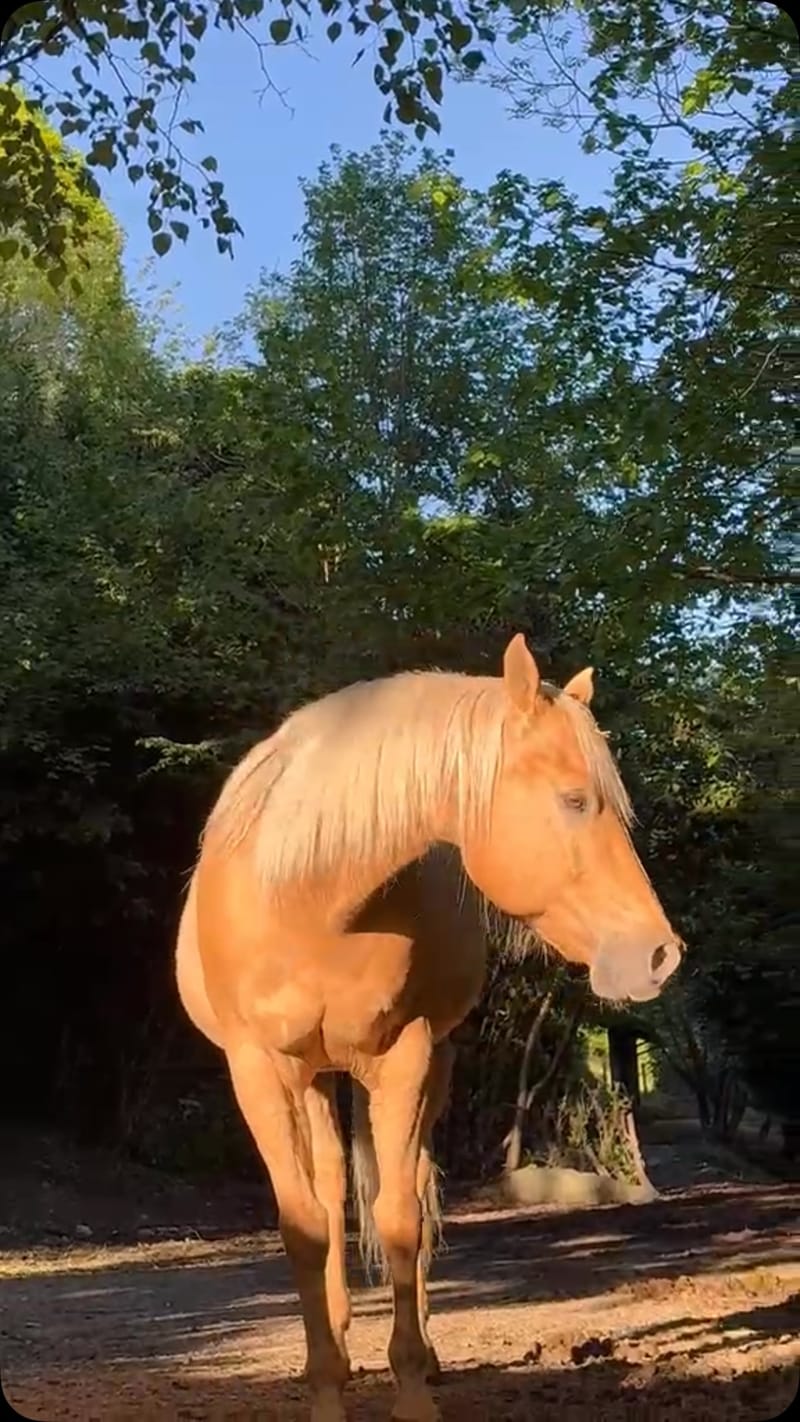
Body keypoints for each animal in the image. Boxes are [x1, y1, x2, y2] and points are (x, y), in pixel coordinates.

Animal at [175, 633, 682, 1422]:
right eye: (574, 800)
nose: (661, 955)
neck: (314, 900)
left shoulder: (405, 1055)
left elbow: (400, 1217)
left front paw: (412, 1384)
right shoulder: (258, 1068)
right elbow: (305, 1225)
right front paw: (327, 1385)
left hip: (424, 1066)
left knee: (409, 1181)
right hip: (315, 1077)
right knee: (331, 1189)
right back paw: (339, 1340)